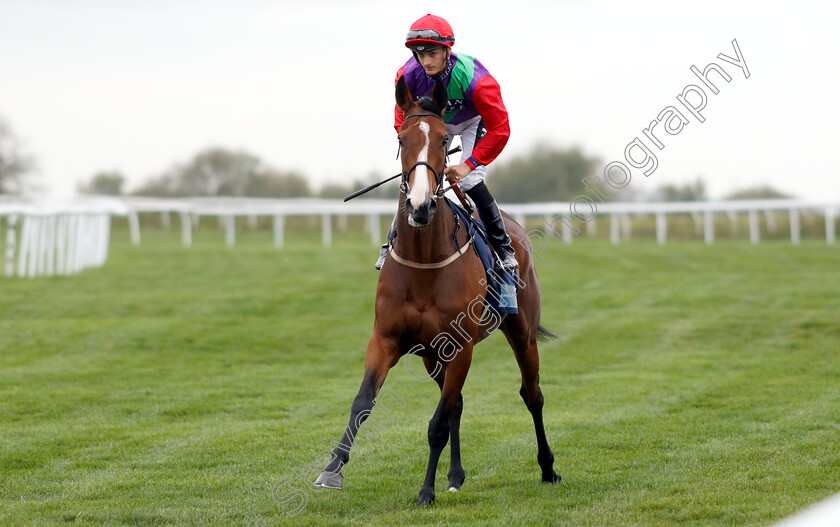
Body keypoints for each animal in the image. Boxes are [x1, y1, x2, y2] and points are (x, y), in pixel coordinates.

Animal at [312, 76, 560, 506]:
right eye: (401, 138)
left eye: (445, 140)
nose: (420, 205)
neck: (425, 263)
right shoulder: (387, 339)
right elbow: (362, 403)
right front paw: (332, 470)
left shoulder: (461, 347)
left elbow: (436, 424)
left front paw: (425, 490)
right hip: (432, 356)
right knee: (457, 403)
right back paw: (456, 475)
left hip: (521, 333)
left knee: (532, 395)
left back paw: (547, 468)